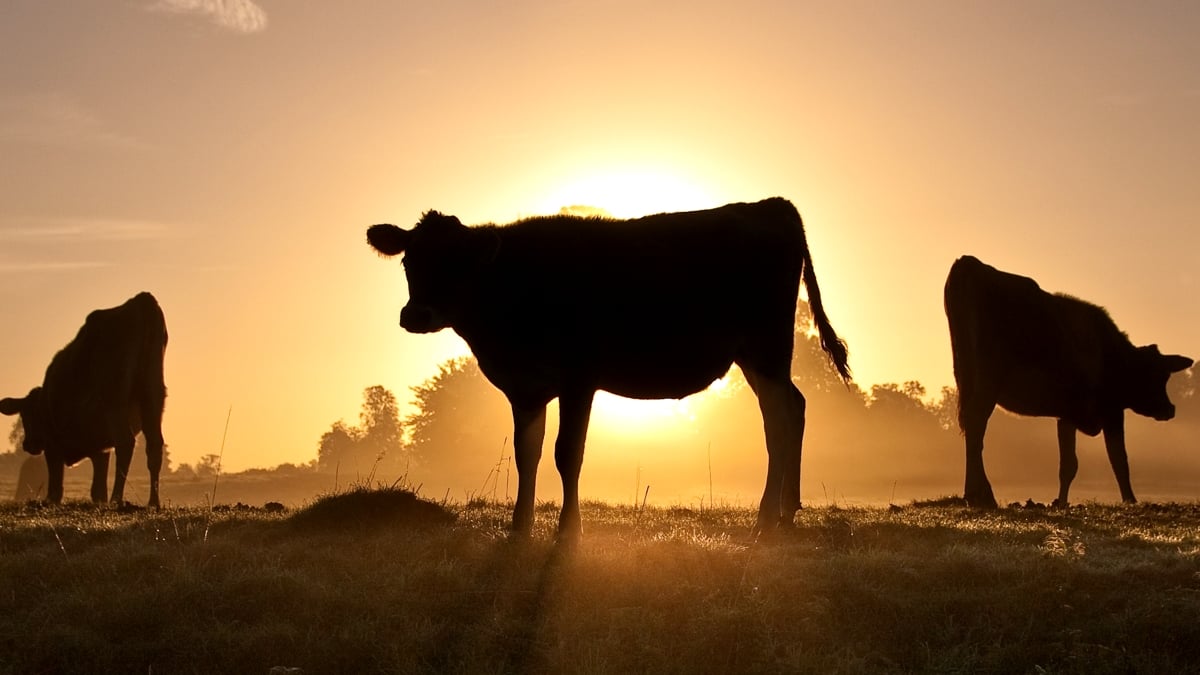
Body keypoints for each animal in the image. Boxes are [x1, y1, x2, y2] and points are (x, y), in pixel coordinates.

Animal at [0, 292, 168, 507]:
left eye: (25, 416)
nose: (28, 444)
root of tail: (140, 300)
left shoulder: (53, 443)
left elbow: (56, 488)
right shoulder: (100, 449)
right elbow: (98, 490)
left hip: (115, 398)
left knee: (125, 442)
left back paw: (117, 498)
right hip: (153, 395)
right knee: (154, 445)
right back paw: (153, 502)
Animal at [367, 198, 850, 539]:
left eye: (457, 264)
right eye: (409, 261)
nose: (415, 314)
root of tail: (771, 204)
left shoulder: (579, 378)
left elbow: (567, 453)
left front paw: (569, 531)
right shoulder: (526, 387)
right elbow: (527, 454)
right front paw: (520, 528)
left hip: (767, 346)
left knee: (779, 420)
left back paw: (766, 518)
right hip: (756, 355)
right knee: (793, 406)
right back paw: (787, 510)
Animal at [944, 255, 1192, 508]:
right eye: (1158, 375)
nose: (1169, 409)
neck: (1114, 355)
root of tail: (969, 262)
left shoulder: (1067, 414)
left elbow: (1069, 465)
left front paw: (1061, 502)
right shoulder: (1112, 411)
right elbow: (1119, 459)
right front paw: (1130, 500)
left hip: (966, 375)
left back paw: (973, 494)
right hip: (989, 378)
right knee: (976, 424)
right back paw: (982, 494)